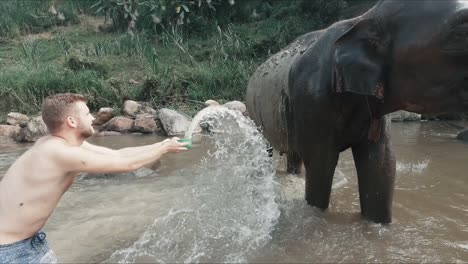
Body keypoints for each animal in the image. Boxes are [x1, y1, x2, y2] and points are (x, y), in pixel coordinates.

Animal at [245, 0, 468, 224]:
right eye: (462, 31)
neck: (363, 18)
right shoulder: (311, 98)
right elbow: (320, 165)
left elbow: (381, 165)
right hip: (255, 112)